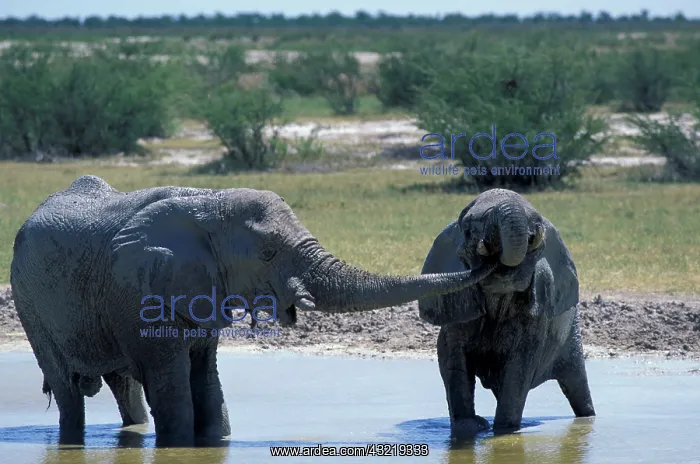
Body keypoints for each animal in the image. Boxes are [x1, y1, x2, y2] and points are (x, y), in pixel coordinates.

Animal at [11, 175, 496, 447]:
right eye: (267, 253)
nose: (485, 254)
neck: (209, 202)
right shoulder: (143, 292)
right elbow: (174, 390)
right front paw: (179, 445)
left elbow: (208, 385)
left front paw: (216, 440)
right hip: (29, 301)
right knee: (68, 391)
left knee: (125, 390)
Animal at [418, 188, 595, 437]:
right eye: (468, 230)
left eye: (535, 234)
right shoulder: (458, 305)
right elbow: (453, 360)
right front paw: (469, 430)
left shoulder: (535, 317)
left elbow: (519, 367)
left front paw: (504, 432)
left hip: (570, 334)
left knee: (577, 383)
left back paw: (587, 419)